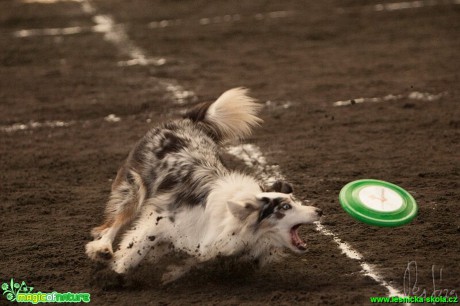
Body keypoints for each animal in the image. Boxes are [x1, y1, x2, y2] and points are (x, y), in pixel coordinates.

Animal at [87, 87, 324, 284]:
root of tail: (186, 120)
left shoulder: (209, 244)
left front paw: (170, 273)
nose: (319, 211)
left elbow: (192, 260)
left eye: (293, 200)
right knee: (112, 223)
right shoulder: (159, 219)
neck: (231, 221)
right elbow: (135, 249)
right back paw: (102, 248)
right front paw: (116, 272)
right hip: (135, 188)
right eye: (285, 207)